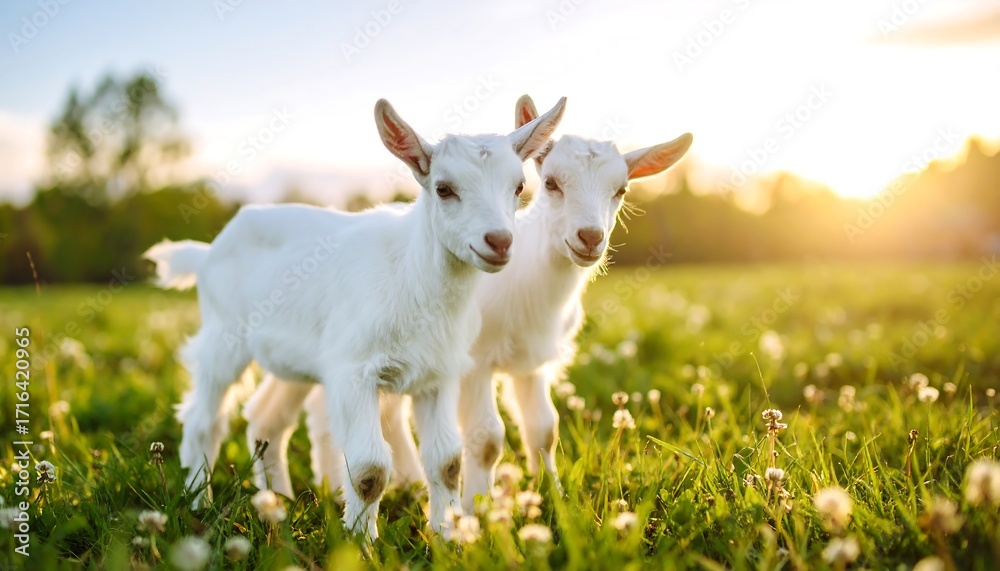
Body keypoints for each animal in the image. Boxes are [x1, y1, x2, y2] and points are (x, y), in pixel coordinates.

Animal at [143, 96, 567, 540]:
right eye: (444, 188)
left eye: (519, 187)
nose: (499, 242)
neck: (409, 274)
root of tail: (207, 252)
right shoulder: (354, 371)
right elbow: (369, 469)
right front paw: (361, 542)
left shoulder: (438, 374)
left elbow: (447, 461)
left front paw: (448, 537)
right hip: (223, 337)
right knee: (203, 420)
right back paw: (199, 501)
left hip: (297, 359)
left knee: (266, 421)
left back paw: (279, 504)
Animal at [245, 95, 692, 513]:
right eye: (550, 183)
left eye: (621, 190)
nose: (589, 237)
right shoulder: (472, 363)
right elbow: (487, 439)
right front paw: (479, 507)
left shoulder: (532, 362)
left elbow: (544, 430)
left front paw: (554, 498)